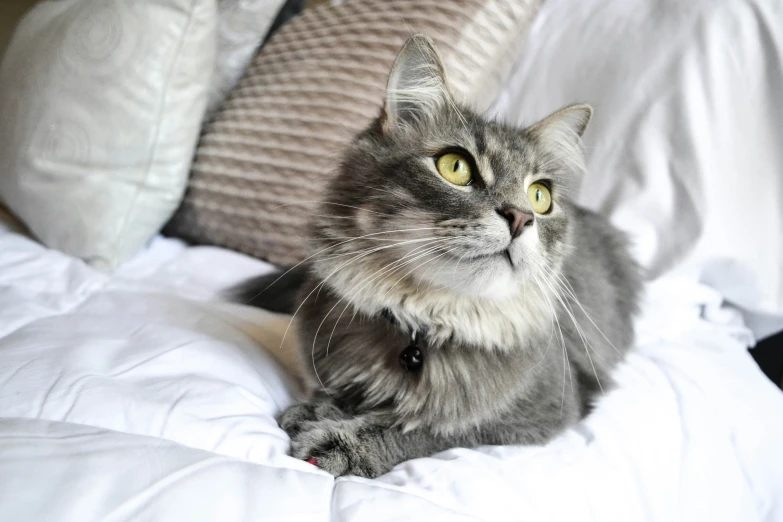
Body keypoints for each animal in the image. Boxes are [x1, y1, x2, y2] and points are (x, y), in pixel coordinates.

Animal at [237, 35, 644, 476]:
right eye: (456, 167)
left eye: (540, 196)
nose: (521, 217)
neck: (424, 322)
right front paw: (322, 407)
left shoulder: (540, 411)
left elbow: (430, 426)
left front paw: (344, 440)